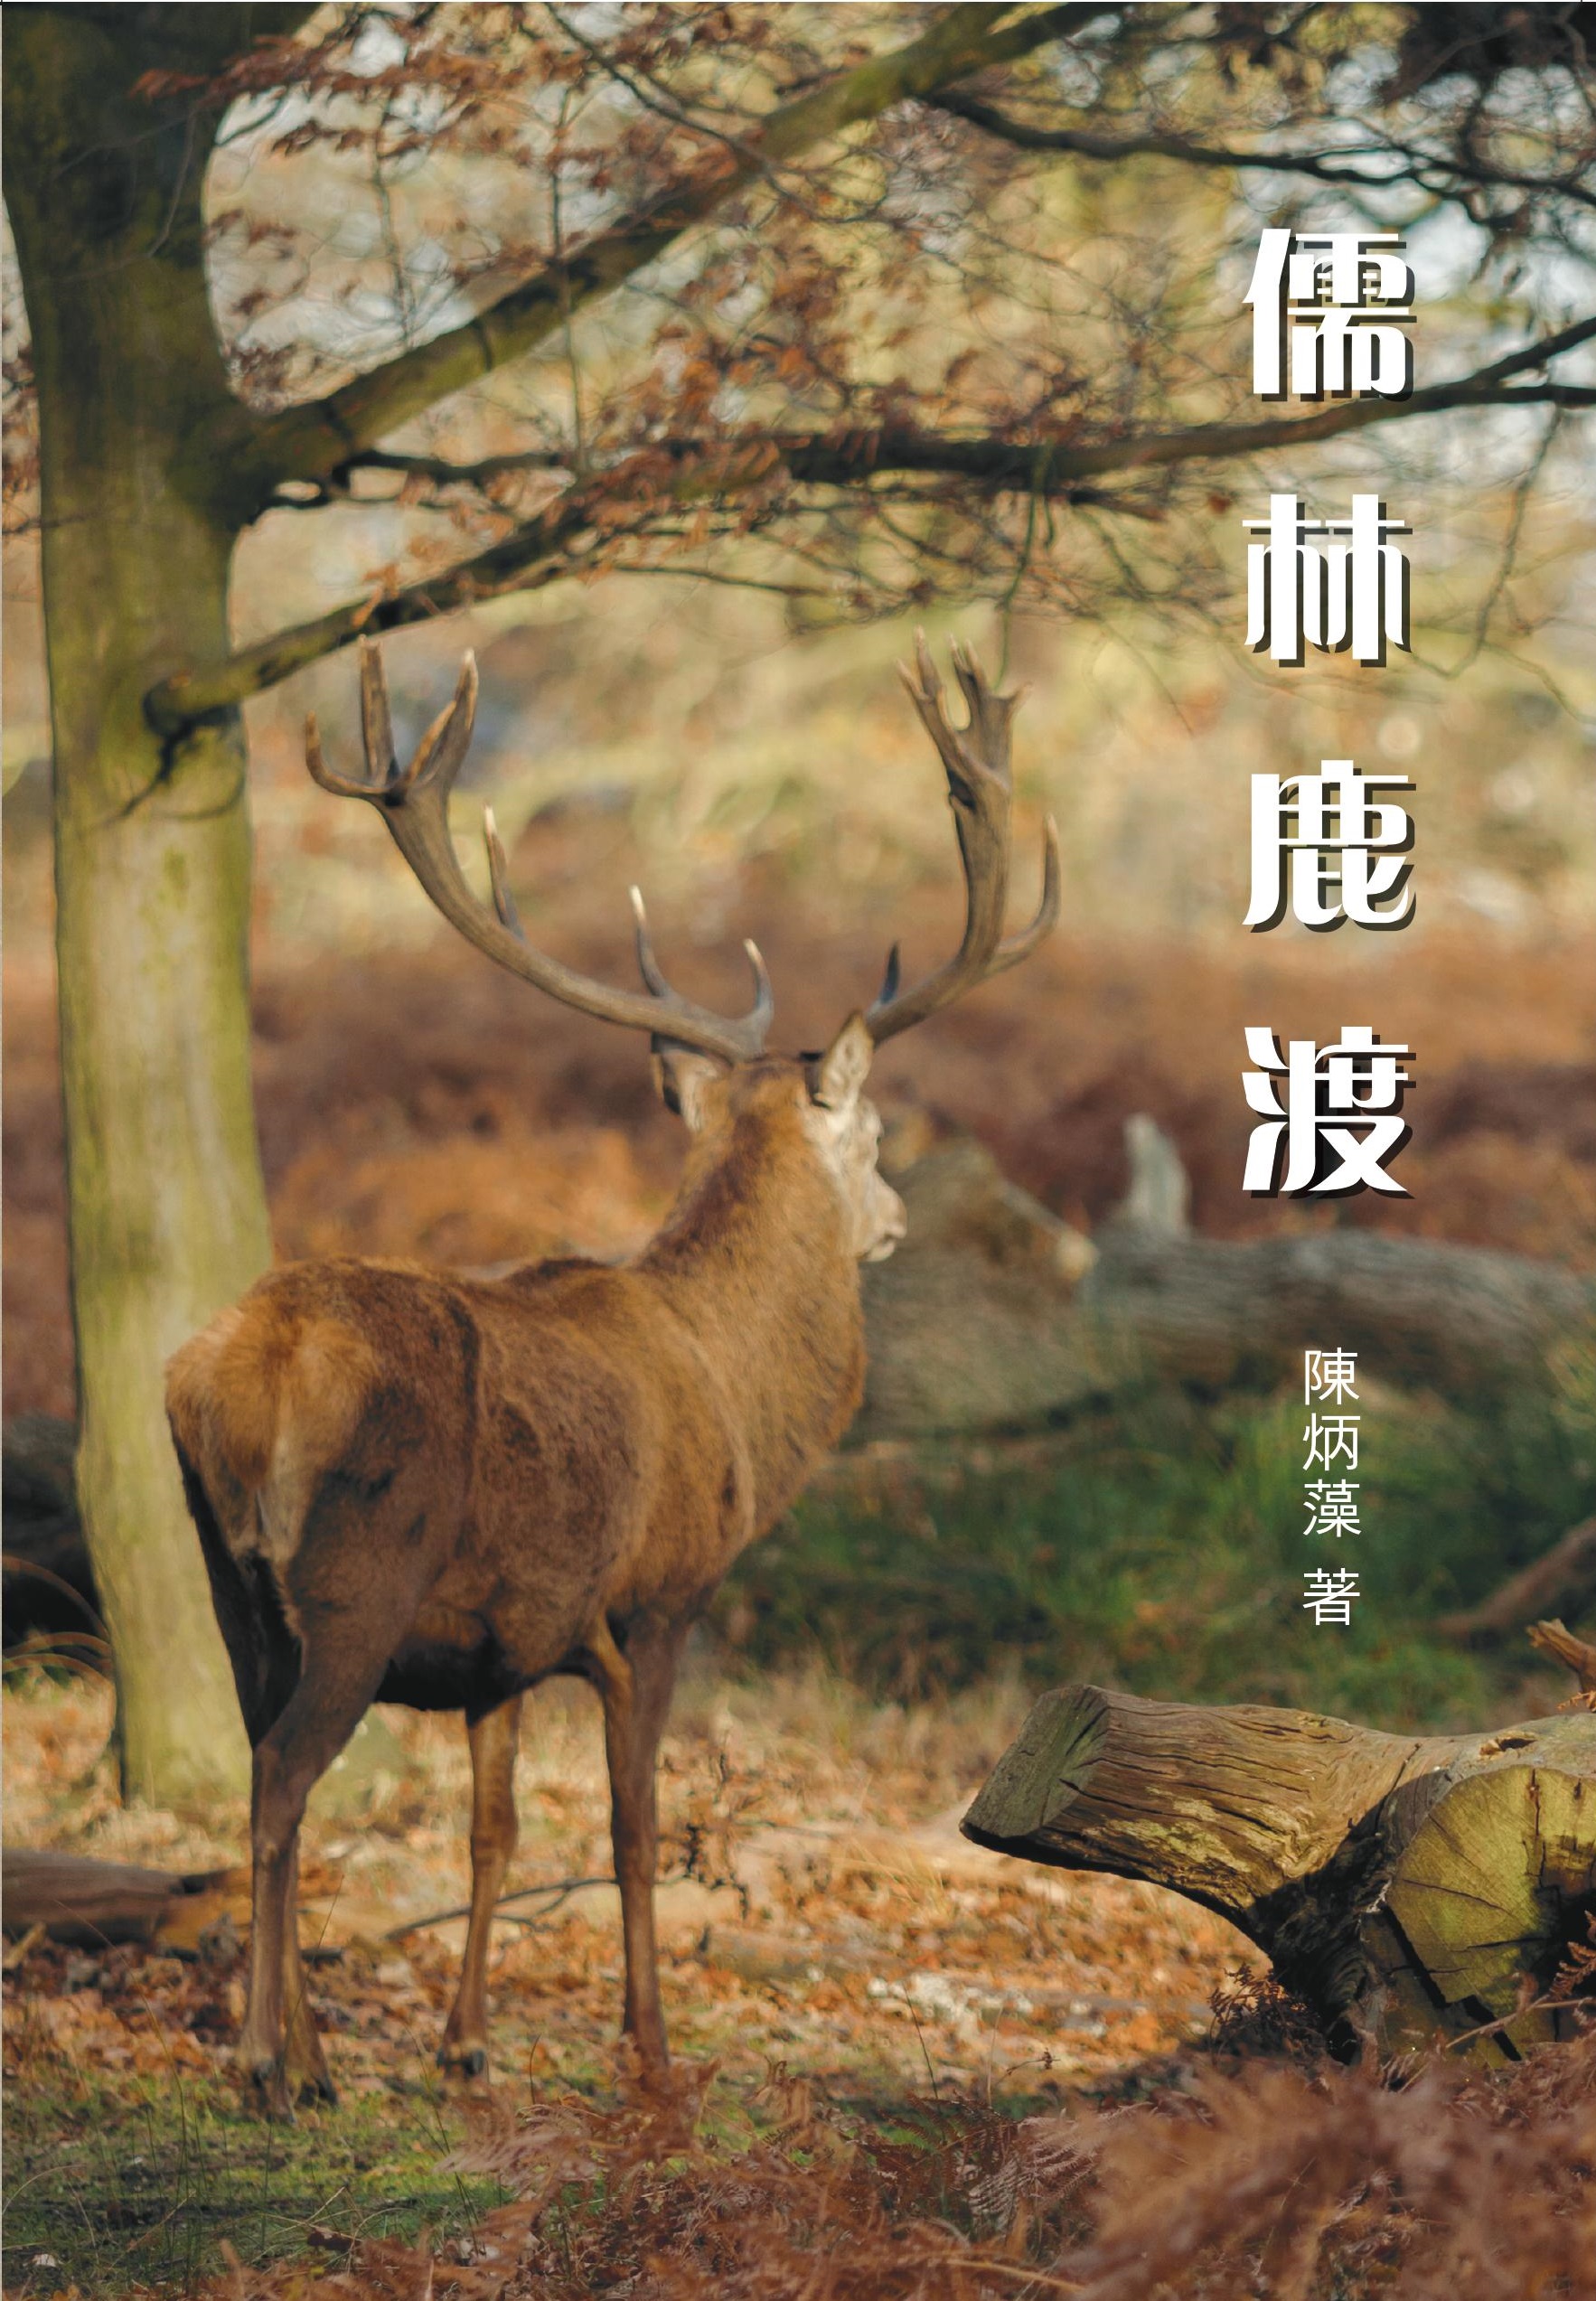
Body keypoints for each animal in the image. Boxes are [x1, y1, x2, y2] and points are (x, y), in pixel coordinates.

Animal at [165, 634, 1057, 2116]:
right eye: (876, 1131)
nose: (891, 1218)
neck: (733, 1389)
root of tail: (254, 1363)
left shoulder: (499, 1646)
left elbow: (494, 1826)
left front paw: (467, 2042)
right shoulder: (661, 1590)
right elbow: (636, 1823)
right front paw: (650, 2049)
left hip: (230, 1582)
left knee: (253, 1756)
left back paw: (319, 2055)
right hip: (356, 1577)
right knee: (282, 1780)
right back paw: (266, 2064)